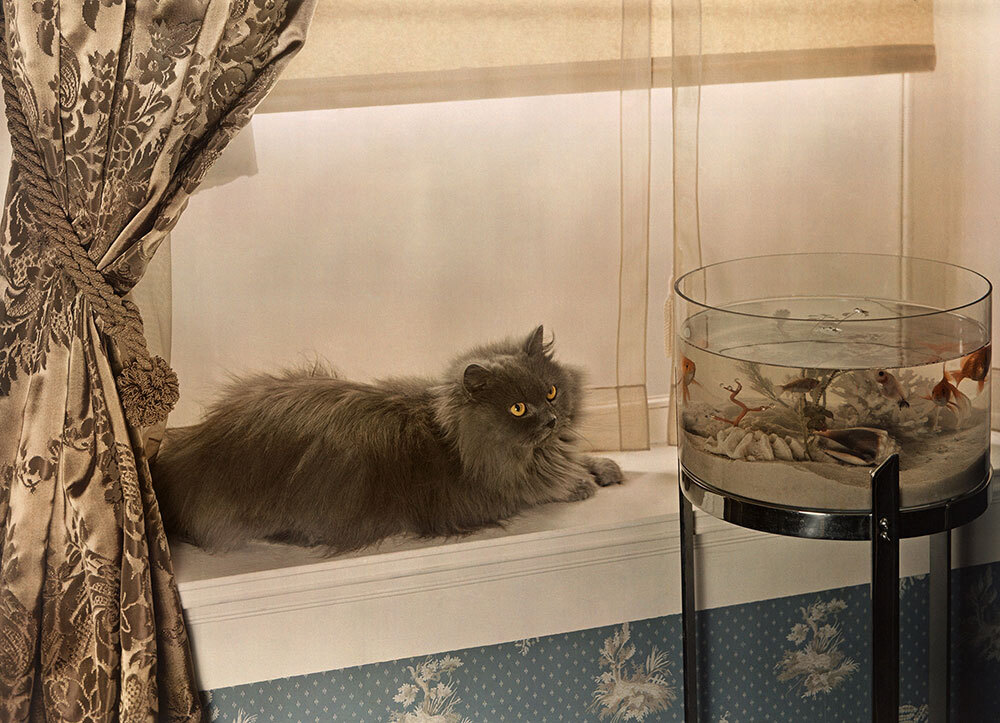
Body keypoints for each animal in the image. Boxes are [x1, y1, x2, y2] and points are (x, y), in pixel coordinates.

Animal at [150, 326, 624, 556]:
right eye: (518, 409)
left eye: (551, 392)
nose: (551, 419)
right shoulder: (499, 494)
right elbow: (544, 488)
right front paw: (580, 485)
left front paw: (604, 468)